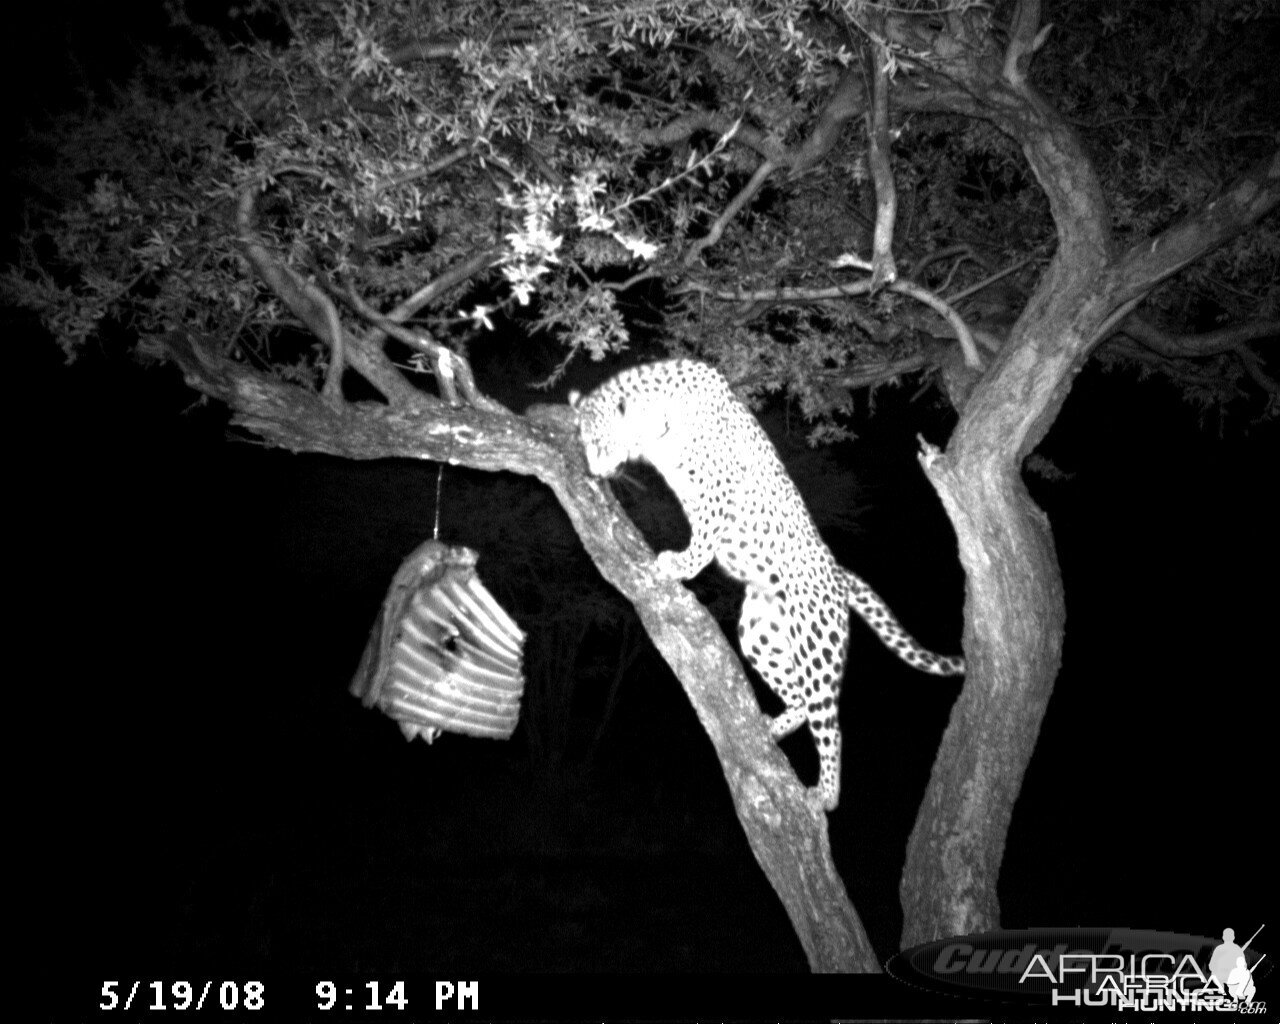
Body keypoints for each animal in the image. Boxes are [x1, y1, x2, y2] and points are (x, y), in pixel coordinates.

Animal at [570, 355, 962, 814]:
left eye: (599, 441)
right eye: (585, 443)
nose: (593, 470)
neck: (659, 420)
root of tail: (838, 574)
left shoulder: (719, 485)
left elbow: (705, 534)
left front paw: (681, 564)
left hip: (815, 643)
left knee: (829, 720)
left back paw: (826, 793)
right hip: (760, 632)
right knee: (800, 699)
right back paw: (776, 727)